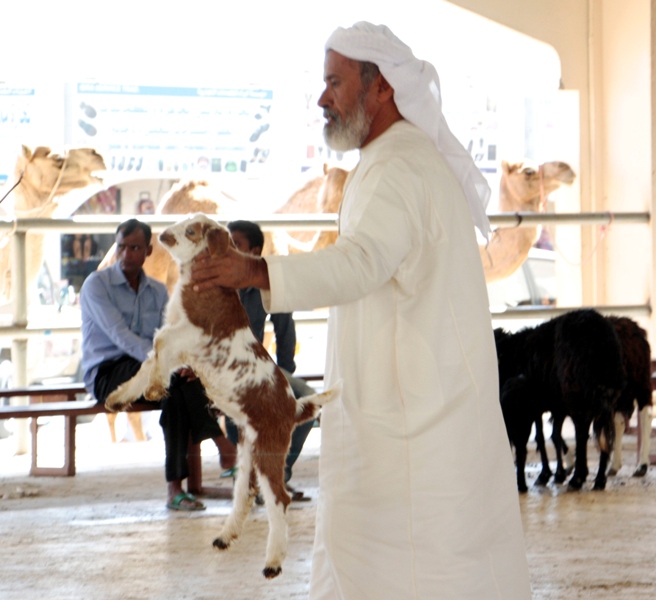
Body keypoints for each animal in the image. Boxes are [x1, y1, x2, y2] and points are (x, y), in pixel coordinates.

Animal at [494, 310, 624, 492]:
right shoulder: (557, 407)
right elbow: (554, 436)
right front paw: (557, 473)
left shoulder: (533, 407)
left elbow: (541, 437)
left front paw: (548, 474)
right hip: (604, 398)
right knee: (603, 435)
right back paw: (598, 480)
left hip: (577, 395)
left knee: (582, 435)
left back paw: (577, 479)